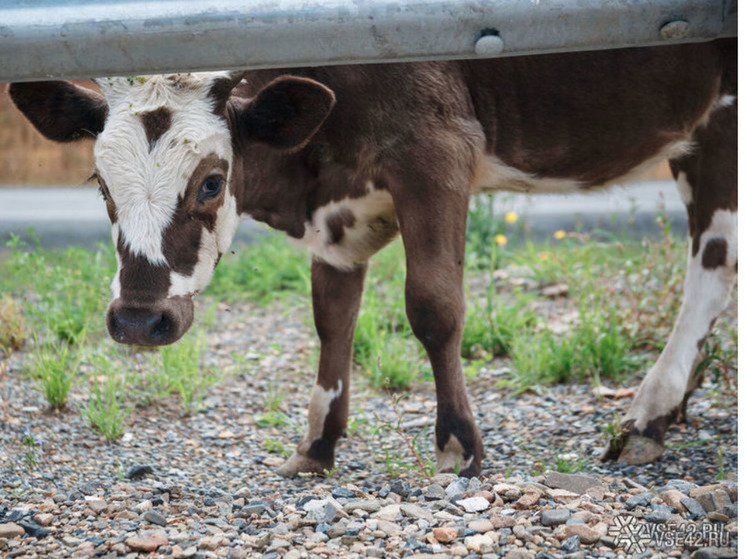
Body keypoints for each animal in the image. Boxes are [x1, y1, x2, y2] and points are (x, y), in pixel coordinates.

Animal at [8, 38, 736, 476]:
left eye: (212, 182)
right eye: (100, 182)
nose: (138, 319)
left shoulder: (436, 150)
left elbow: (434, 307)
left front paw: (457, 445)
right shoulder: (338, 217)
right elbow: (333, 319)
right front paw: (318, 444)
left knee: (714, 258)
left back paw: (648, 410)